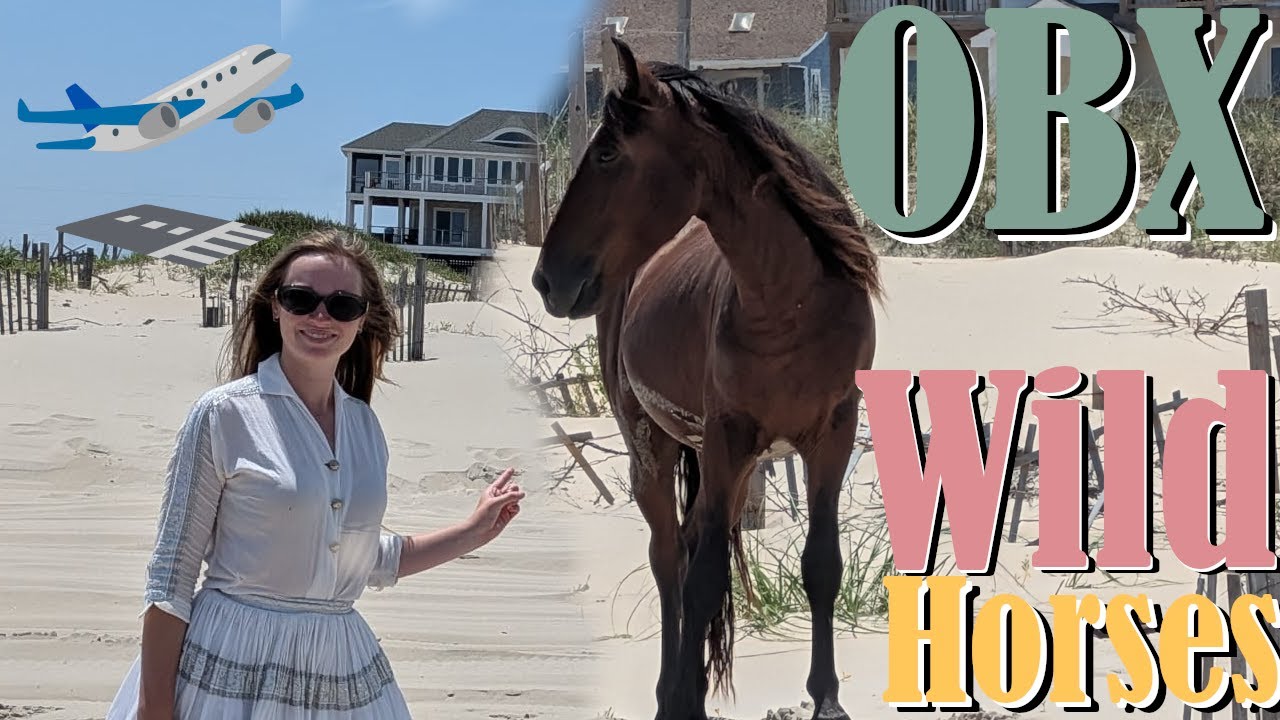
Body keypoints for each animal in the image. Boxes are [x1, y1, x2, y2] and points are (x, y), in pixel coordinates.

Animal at [531, 37, 883, 720]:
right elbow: (701, 582)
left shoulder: (833, 433)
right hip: (656, 446)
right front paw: (683, 699)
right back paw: (673, 692)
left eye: (608, 153)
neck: (790, 302)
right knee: (671, 557)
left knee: (693, 545)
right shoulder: (725, 438)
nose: (546, 279)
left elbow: (821, 565)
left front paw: (827, 699)